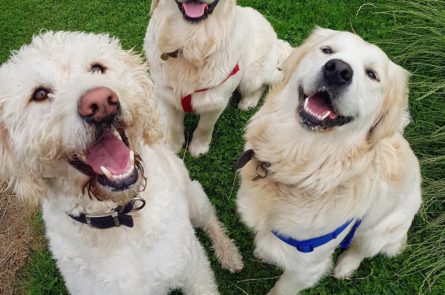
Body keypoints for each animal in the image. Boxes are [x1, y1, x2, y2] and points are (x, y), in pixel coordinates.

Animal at [0, 31, 243, 295]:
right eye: (40, 94)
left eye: (97, 68)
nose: (100, 103)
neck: (119, 219)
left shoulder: (192, 266)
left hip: (194, 197)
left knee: (210, 221)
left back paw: (229, 253)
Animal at [144, 0, 294, 157]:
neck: (192, 44)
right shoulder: (167, 95)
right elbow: (174, 125)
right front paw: (174, 147)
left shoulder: (216, 101)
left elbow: (205, 127)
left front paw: (199, 147)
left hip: (251, 77)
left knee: (265, 85)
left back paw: (248, 102)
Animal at [236, 28, 420, 295]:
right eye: (327, 50)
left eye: (372, 74)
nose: (338, 70)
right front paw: (264, 251)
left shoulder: (306, 267)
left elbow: (281, 289)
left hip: (380, 231)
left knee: (361, 250)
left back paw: (345, 267)